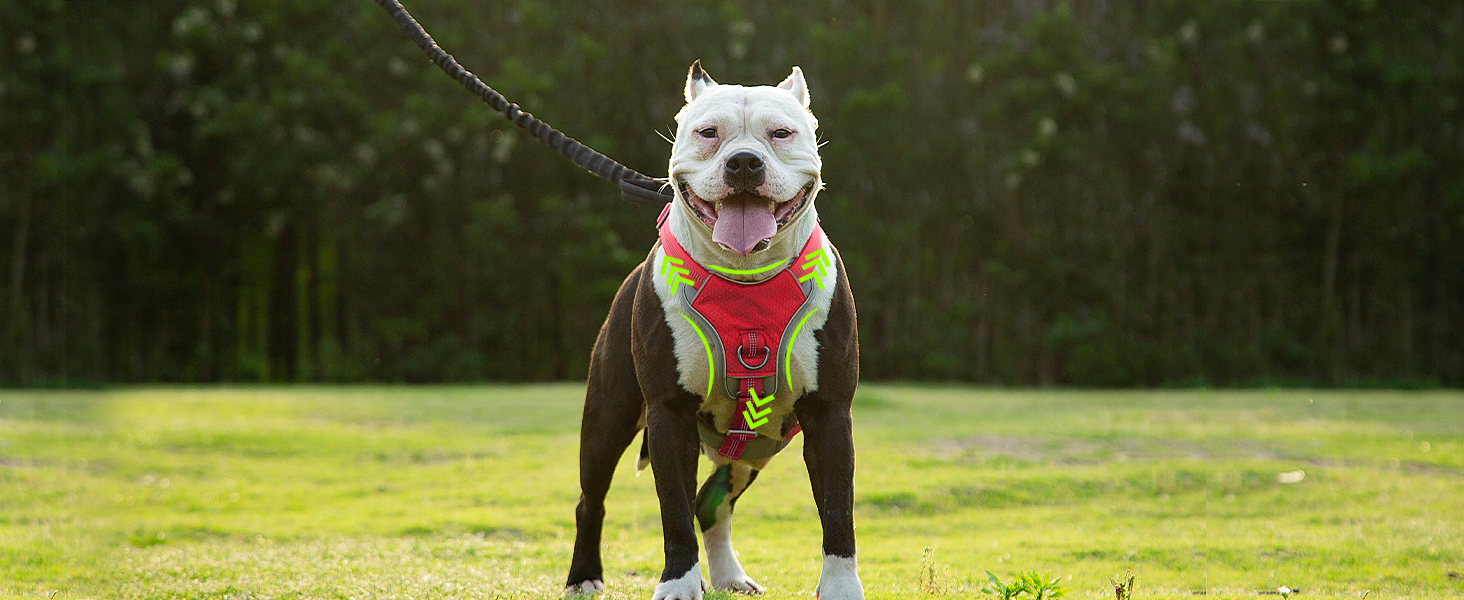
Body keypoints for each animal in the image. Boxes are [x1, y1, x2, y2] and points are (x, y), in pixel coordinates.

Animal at [559, 62, 854, 600]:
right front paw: (678, 584)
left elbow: (838, 513)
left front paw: (842, 588)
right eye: (708, 133)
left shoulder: (829, 415)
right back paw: (584, 576)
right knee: (593, 499)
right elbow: (673, 512)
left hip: (754, 445)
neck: (747, 278)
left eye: (781, 133)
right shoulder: (669, 415)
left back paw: (727, 575)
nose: (743, 162)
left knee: (710, 502)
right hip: (609, 416)